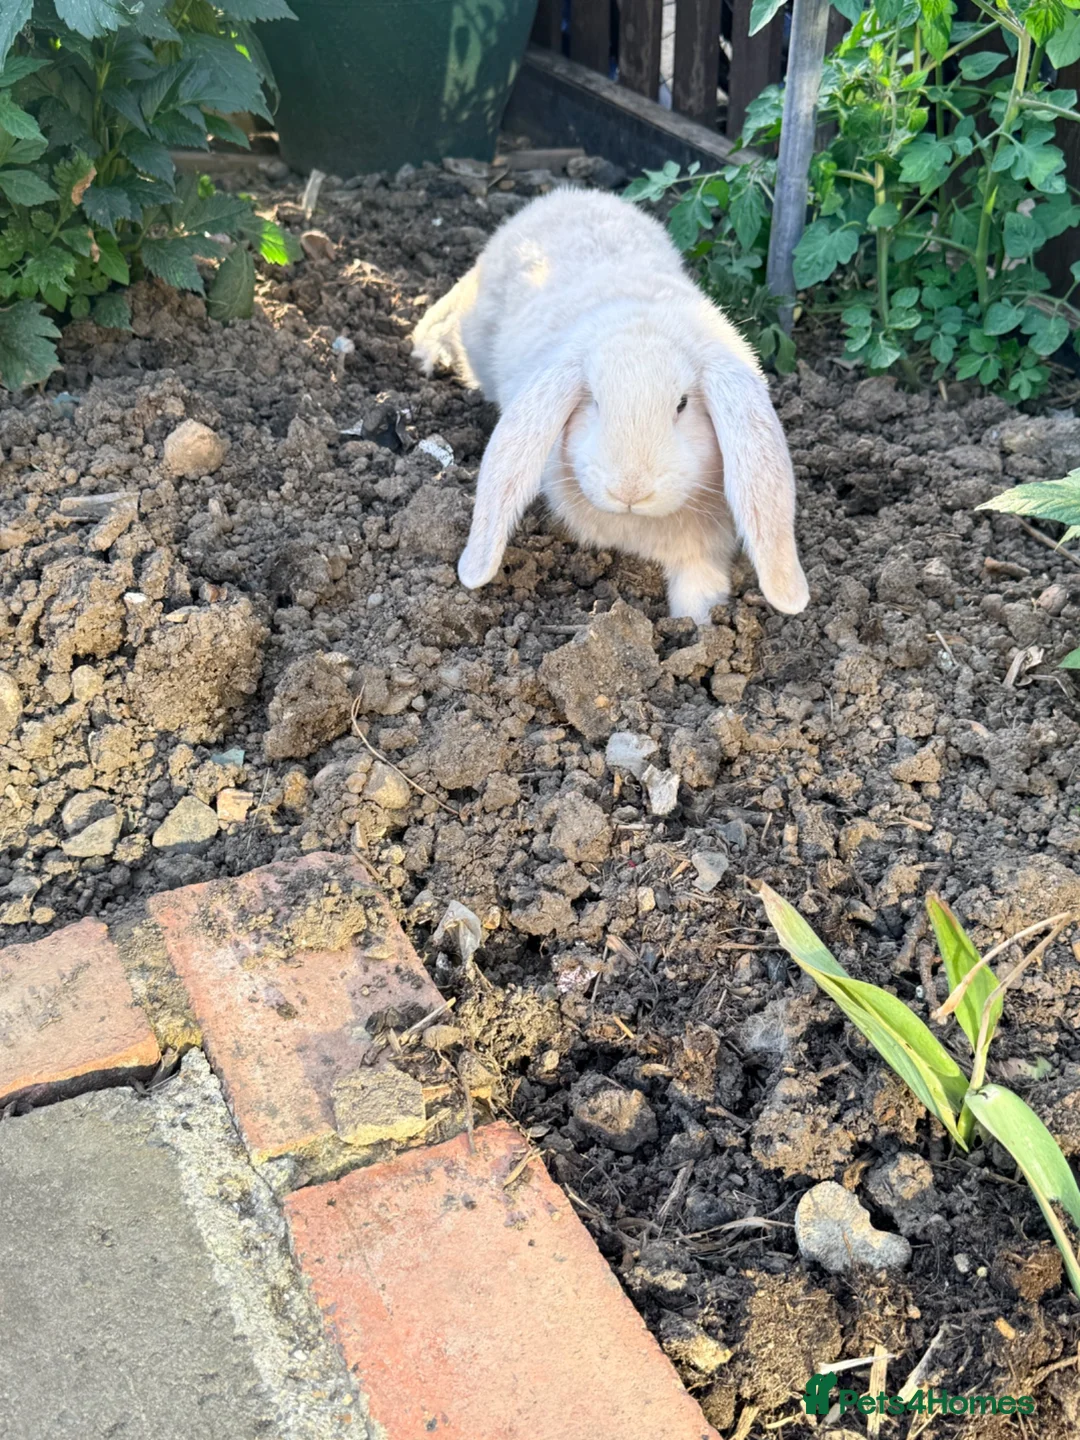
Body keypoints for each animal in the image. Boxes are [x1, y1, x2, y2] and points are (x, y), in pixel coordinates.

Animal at [411, 188, 809, 624]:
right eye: (595, 402)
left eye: (682, 404)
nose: (629, 490)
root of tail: (561, 198)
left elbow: (699, 585)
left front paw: (699, 625)